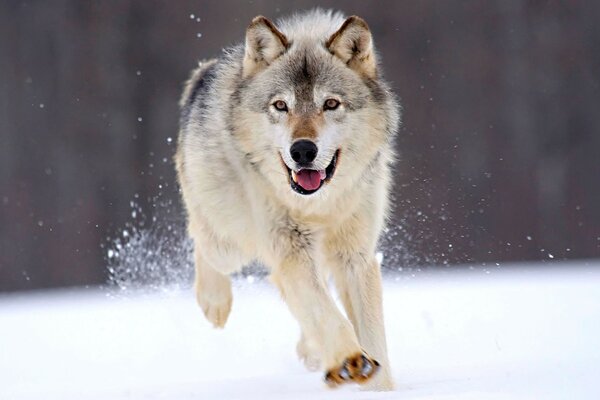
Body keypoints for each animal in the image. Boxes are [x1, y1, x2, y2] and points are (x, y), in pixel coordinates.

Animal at [175, 9, 398, 390]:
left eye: (330, 104)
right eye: (281, 105)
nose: (303, 150)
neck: (318, 206)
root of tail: (204, 72)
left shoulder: (356, 256)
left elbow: (371, 334)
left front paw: (377, 385)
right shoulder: (291, 248)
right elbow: (327, 313)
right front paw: (349, 360)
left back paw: (312, 351)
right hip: (230, 242)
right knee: (202, 241)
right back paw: (214, 303)